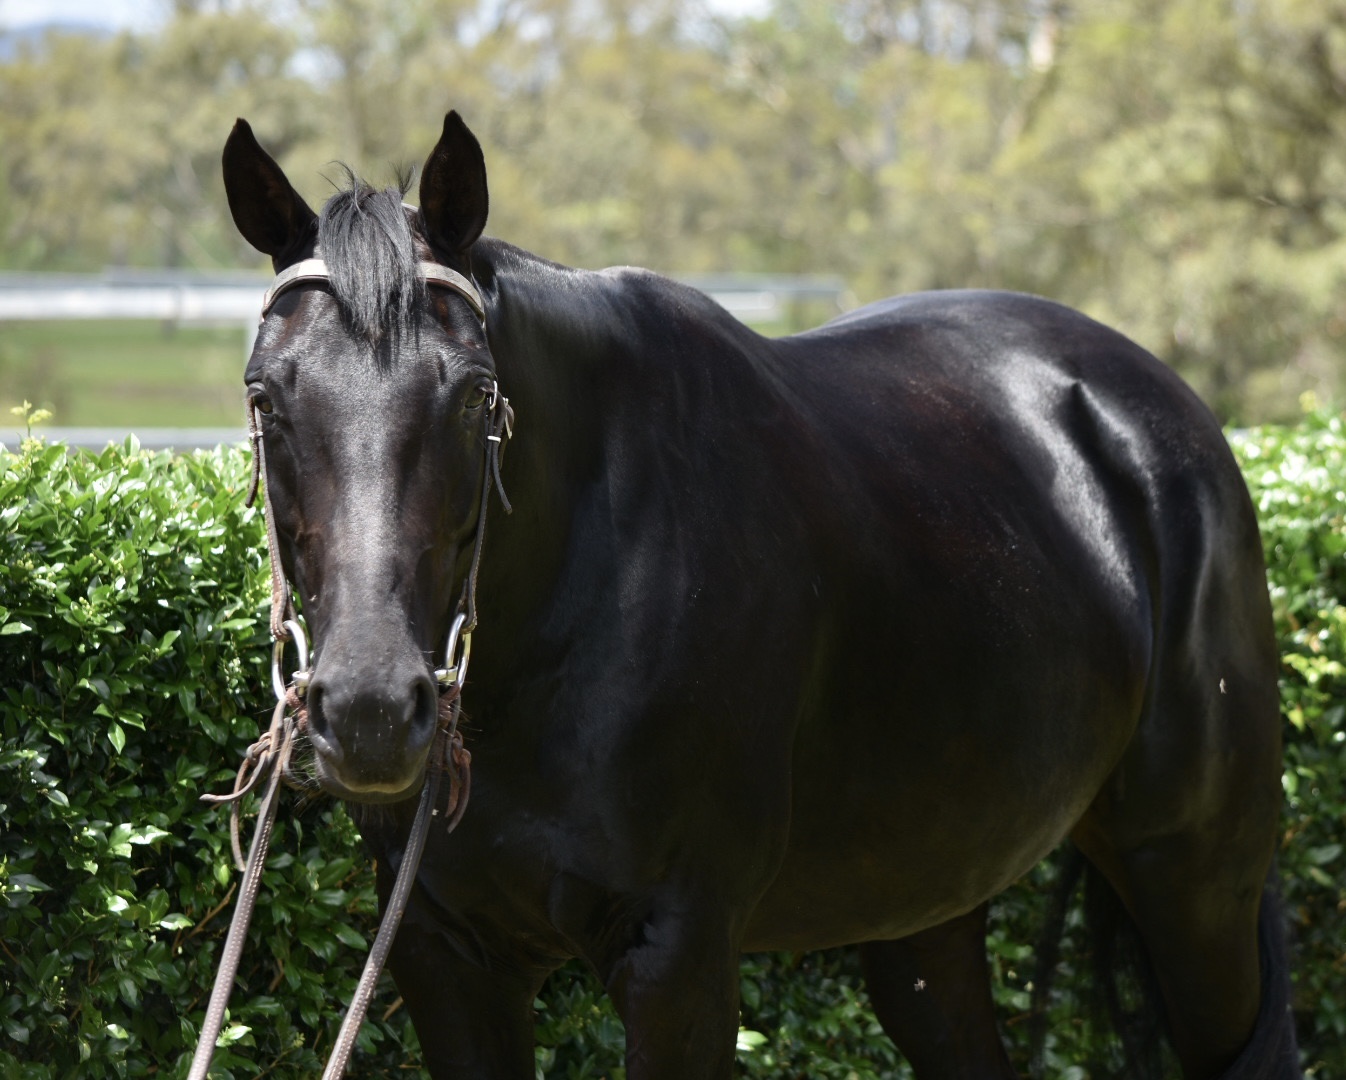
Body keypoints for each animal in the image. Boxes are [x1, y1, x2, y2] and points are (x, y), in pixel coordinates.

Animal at [221, 111, 1299, 1079]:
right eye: (266, 398)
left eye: (475, 395)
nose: (370, 711)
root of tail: (1158, 409)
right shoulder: (447, 959)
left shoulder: (678, 960)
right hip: (926, 899)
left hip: (1194, 882)